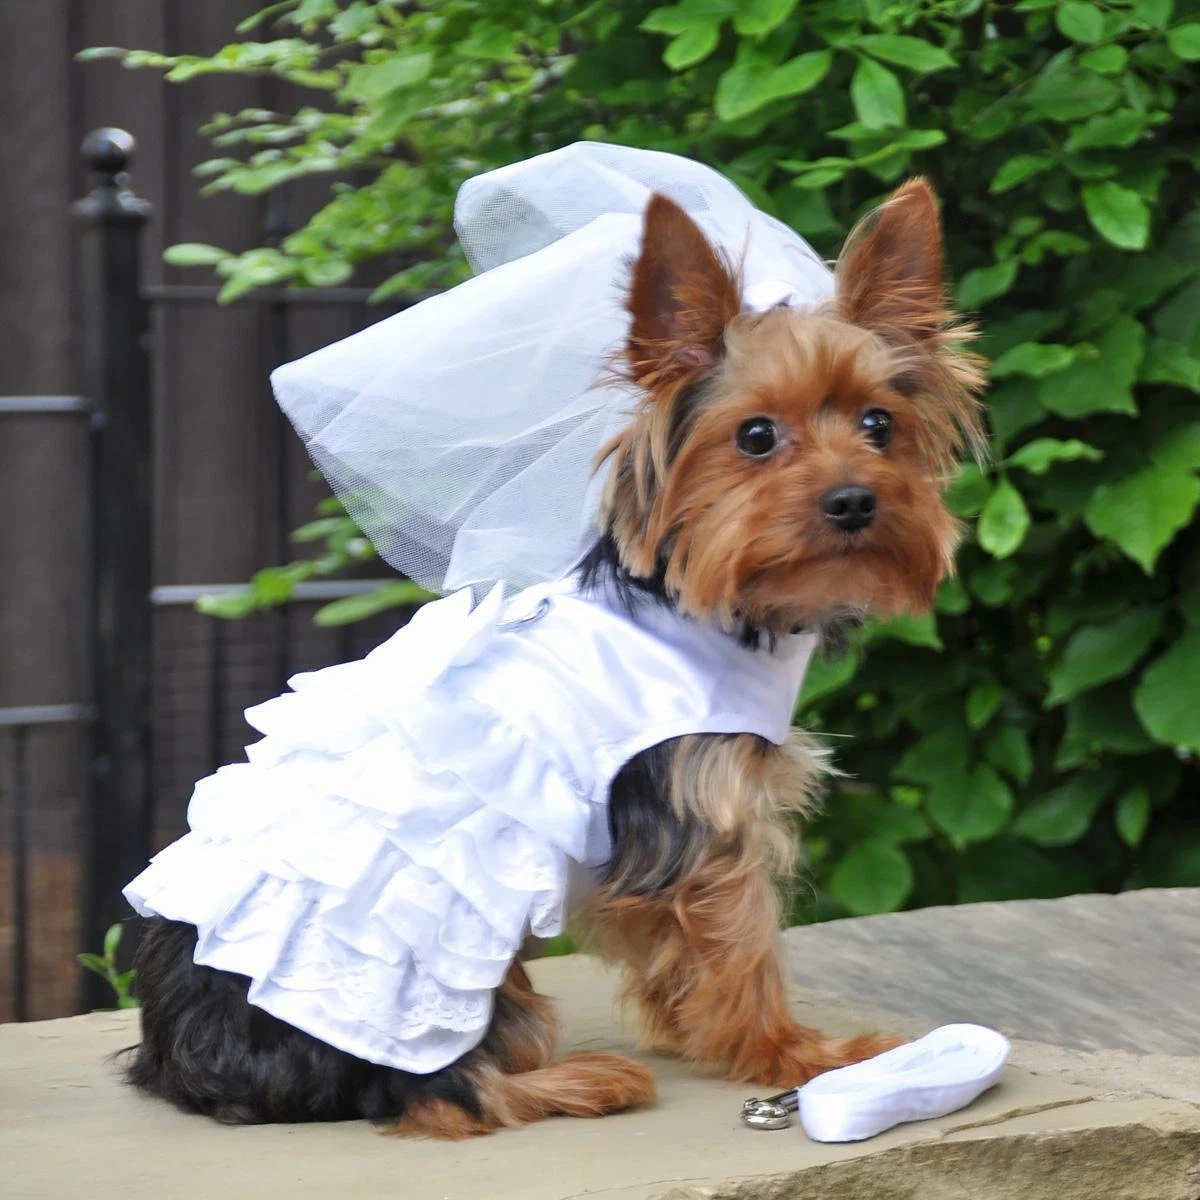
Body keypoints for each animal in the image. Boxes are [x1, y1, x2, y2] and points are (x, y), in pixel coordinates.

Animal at [124, 175, 984, 1132]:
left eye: (880, 424)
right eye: (756, 437)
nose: (854, 501)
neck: (700, 606)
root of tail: (188, 1058)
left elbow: (667, 946)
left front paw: (693, 1031)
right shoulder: (701, 816)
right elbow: (741, 942)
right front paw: (793, 1055)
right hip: (429, 971)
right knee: (442, 1091)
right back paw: (584, 1080)